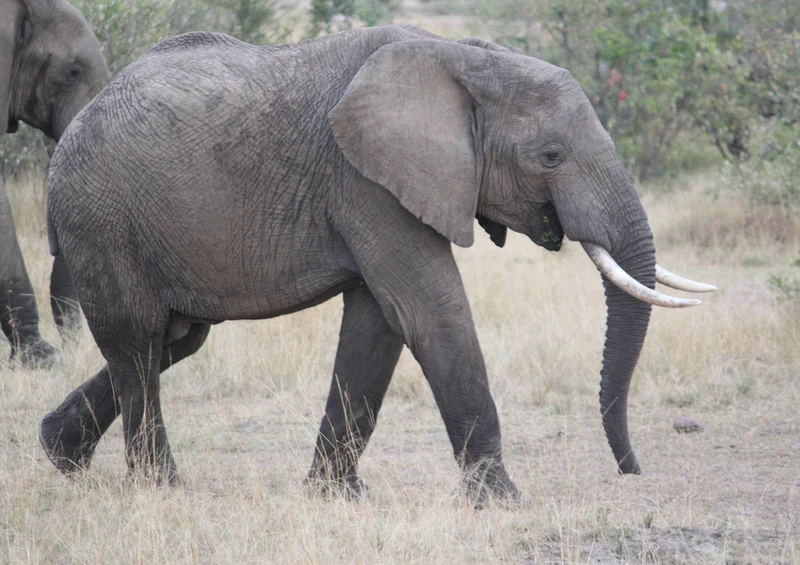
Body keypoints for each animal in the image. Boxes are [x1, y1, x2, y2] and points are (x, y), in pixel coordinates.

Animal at [38, 25, 715, 503]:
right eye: (550, 156)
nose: (631, 470)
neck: (464, 58)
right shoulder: (364, 180)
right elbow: (429, 309)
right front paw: (502, 502)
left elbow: (377, 326)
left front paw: (335, 497)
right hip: (99, 218)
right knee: (137, 341)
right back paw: (161, 490)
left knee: (174, 339)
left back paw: (58, 455)